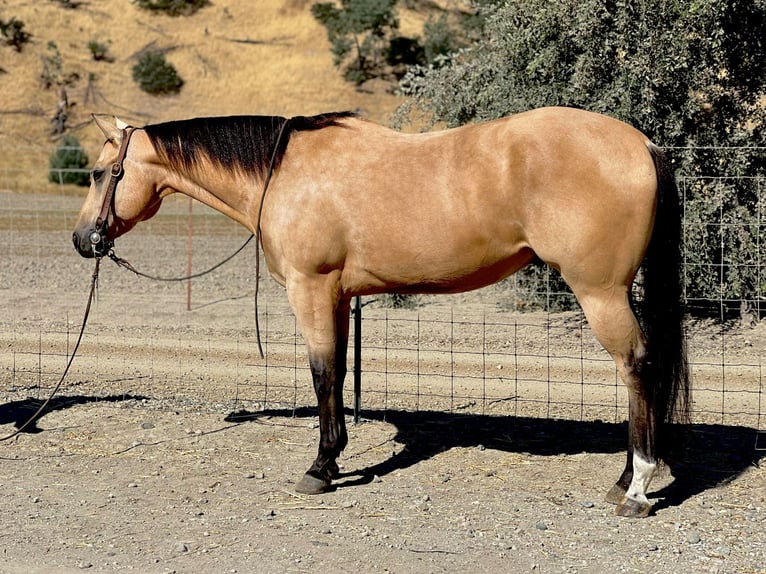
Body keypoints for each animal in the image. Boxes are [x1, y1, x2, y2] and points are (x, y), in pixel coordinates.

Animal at [75, 106, 692, 520]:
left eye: (102, 173)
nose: (83, 240)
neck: (285, 174)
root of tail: (642, 144)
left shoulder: (311, 290)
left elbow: (322, 373)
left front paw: (319, 469)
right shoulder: (340, 296)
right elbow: (339, 372)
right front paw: (334, 459)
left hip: (601, 292)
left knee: (639, 367)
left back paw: (637, 487)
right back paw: (625, 478)